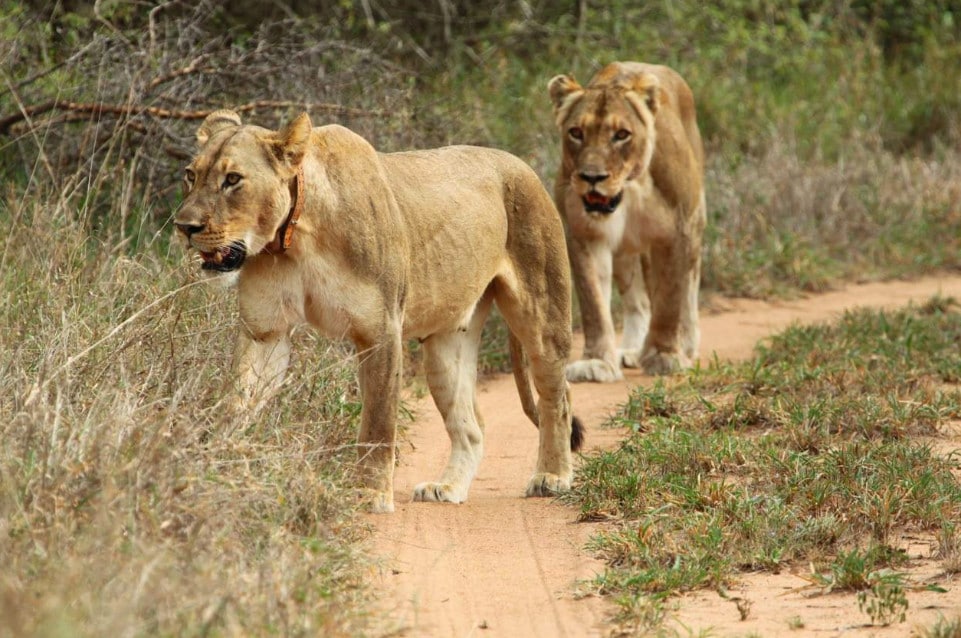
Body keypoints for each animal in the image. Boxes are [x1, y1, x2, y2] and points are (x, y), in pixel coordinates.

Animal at [172, 110, 580, 516]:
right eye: (191, 174)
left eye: (233, 180)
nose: (184, 227)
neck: (294, 240)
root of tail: (521, 164)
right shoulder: (265, 331)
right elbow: (235, 403)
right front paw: (213, 466)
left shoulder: (380, 330)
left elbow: (378, 424)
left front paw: (370, 494)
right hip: (446, 345)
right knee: (472, 424)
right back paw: (448, 487)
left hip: (542, 317)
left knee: (557, 401)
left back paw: (552, 476)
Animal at [548, 62, 704, 382]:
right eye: (576, 132)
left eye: (621, 134)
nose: (592, 177)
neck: (628, 190)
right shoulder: (584, 235)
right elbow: (594, 303)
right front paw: (596, 363)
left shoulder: (677, 231)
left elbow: (669, 298)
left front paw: (663, 356)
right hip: (625, 251)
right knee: (638, 302)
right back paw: (631, 351)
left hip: (695, 228)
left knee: (689, 288)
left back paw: (686, 344)